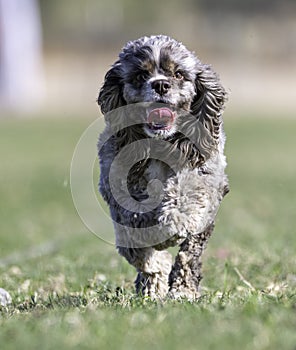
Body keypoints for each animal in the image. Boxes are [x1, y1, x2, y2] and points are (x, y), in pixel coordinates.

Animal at [97, 34, 229, 298]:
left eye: (178, 74)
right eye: (140, 75)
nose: (160, 85)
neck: (159, 146)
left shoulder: (205, 178)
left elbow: (187, 205)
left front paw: (173, 225)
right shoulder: (119, 200)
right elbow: (136, 246)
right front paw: (155, 276)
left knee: (189, 255)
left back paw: (183, 289)